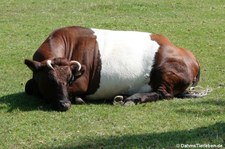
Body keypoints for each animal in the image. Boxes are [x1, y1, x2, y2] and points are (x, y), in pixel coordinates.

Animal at [24, 26, 202, 111]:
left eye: (69, 79)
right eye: (50, 80)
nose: (65, 104)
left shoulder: (82, 84)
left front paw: (78, 99)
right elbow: (28, 86)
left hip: (164, 72)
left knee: (163, 94)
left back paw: (133, 99)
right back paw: (121, 97)